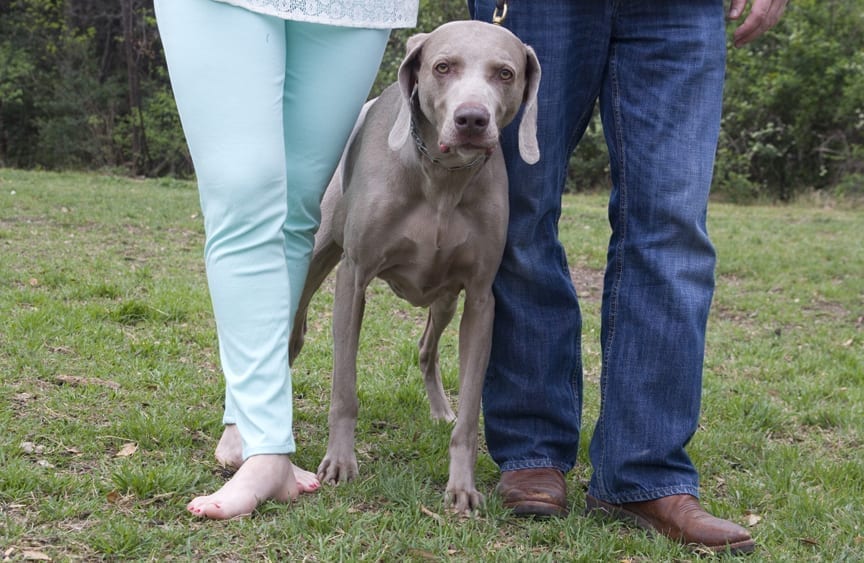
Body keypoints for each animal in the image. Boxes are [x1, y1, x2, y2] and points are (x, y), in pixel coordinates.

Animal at [290, 20, 540, 516]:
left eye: (505, 73)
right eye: (443, 67)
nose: (471, 120)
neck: (442, 179)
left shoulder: (480, 298)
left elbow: (470, 414)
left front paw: (462, 486)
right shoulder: (354, 276)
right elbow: (344, 389)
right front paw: (339, 462)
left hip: (444, 297)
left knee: (426, 347)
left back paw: (440, 410)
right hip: (320, 251)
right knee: (295, 328)